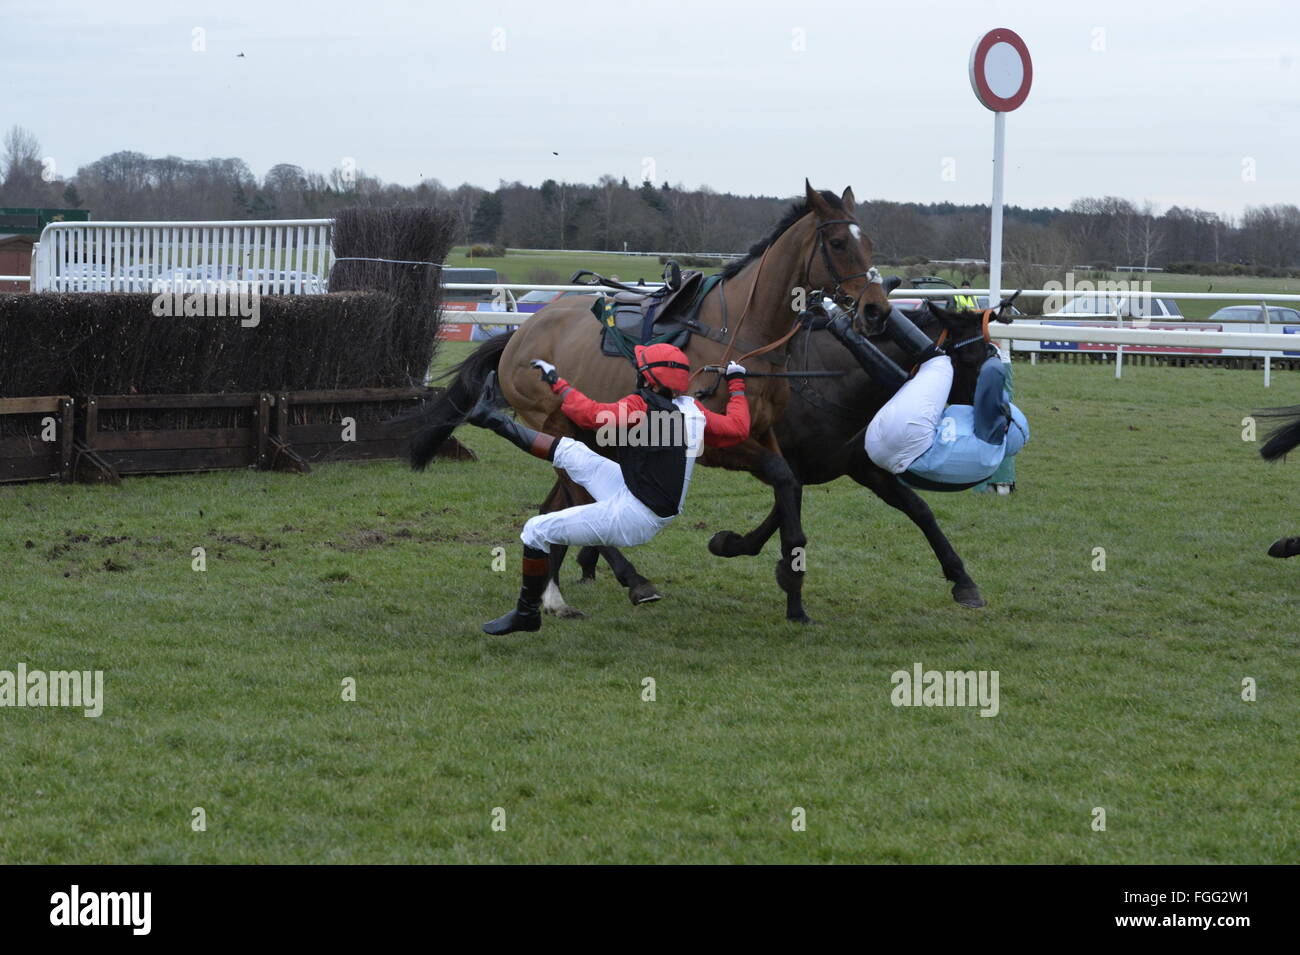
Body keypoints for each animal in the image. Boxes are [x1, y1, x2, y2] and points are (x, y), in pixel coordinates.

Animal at [410, 181, 889, 623]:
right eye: (838, 243)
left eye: (868, 242)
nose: (877, 310)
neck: (741, 330)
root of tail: (520, 334)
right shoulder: (716, 442)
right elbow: (781, 476)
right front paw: (746, 552)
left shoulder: (763, 430)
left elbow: (789, 486)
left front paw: (789, 589)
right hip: (555, 422)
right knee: (576, 497)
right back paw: (628, 580)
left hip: (592, 434)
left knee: (558, 505)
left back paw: (553, 594)